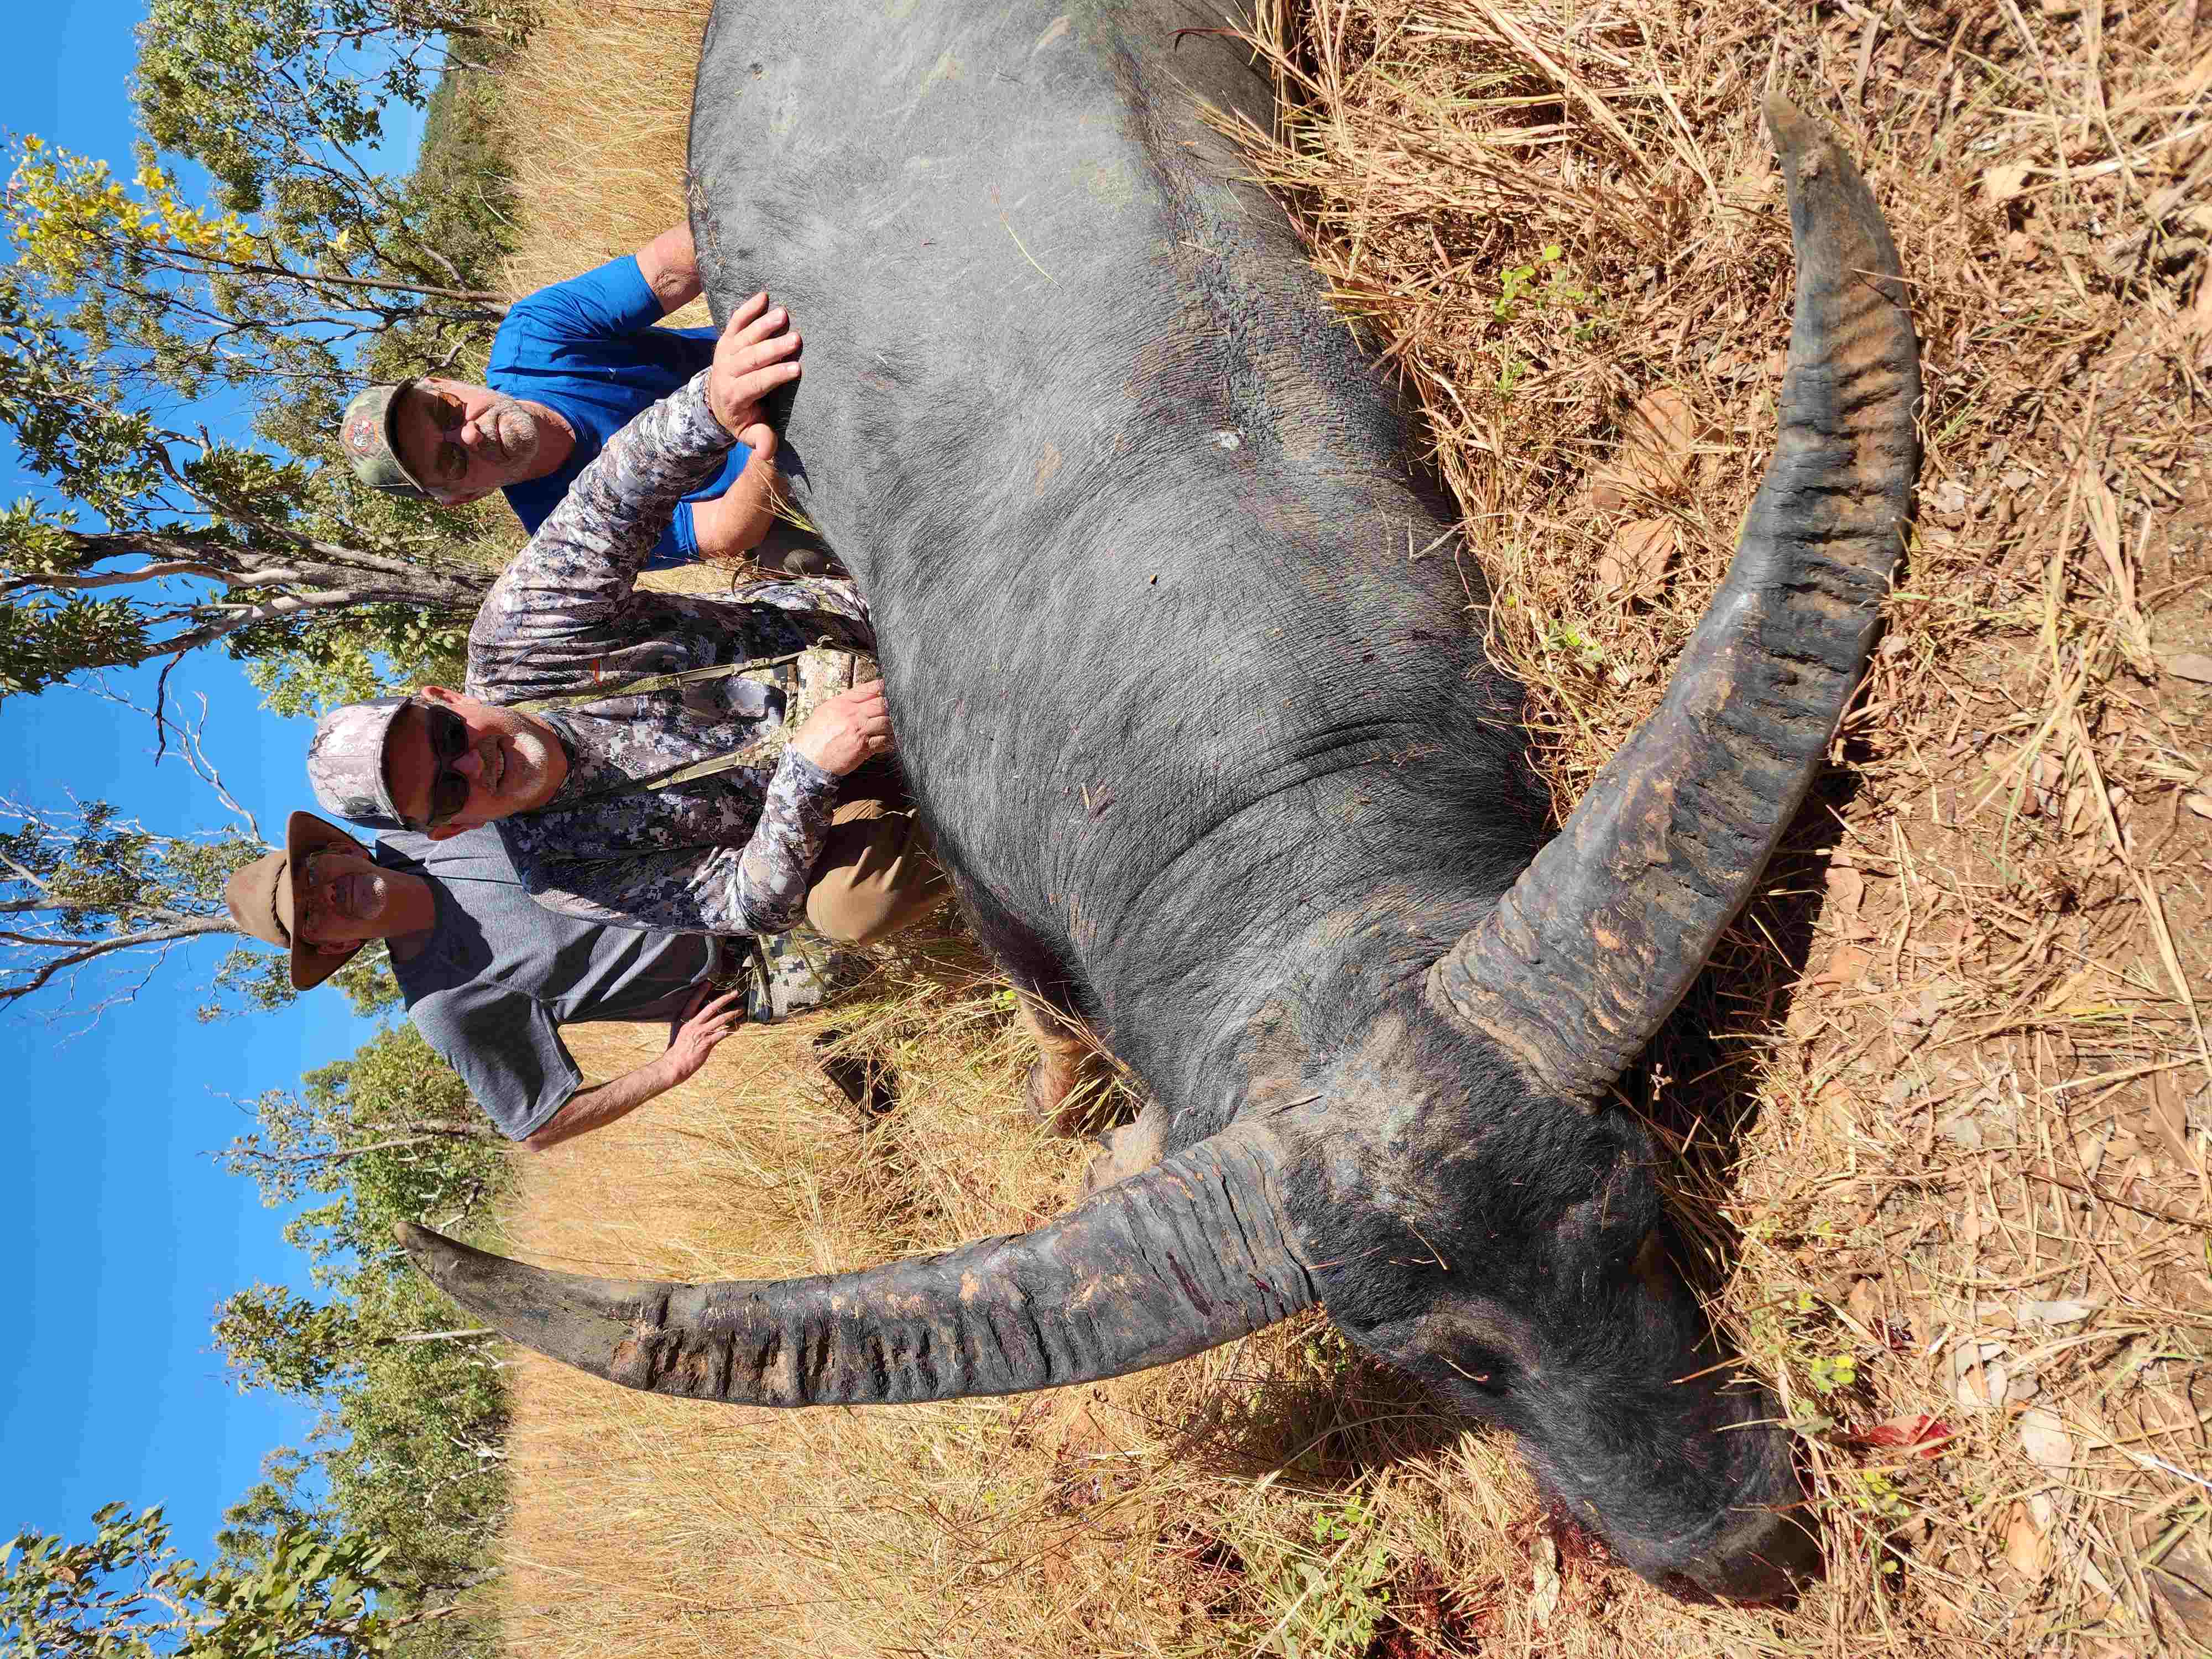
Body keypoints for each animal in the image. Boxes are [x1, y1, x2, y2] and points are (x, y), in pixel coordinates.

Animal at [403, 0, 1921, 1603]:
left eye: (1635, 1203)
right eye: (1438, 1362)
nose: (1725, 1533)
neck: (1257, 775)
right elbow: (1052, 1023)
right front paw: (1072, 1101)